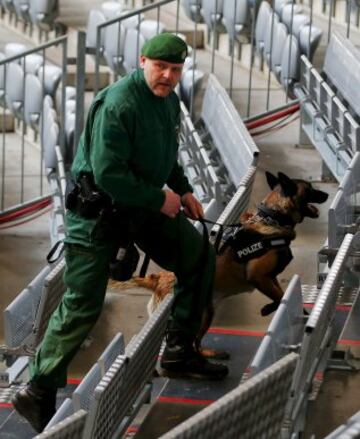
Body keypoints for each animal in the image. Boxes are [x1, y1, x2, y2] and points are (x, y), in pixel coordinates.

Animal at [131, 170, 326, 360]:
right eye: (309, 188)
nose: (326, 194)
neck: (273, 218)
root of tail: (159, 279)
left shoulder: (270, 278)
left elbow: (282, 296)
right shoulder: (258, 276)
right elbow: (279, 297)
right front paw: (268, 309)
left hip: (207, 314)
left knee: (196, 342)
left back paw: (209, 354)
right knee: (188, 339)